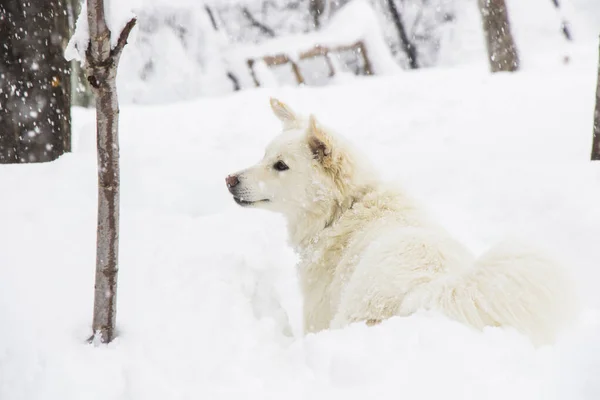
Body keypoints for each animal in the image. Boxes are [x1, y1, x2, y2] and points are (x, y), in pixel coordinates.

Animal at [225, 98, 576, 346]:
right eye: (263, 156)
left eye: (280, 166)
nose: (229, 180)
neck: (345, 209)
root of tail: (428, 288)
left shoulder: (318, 313)